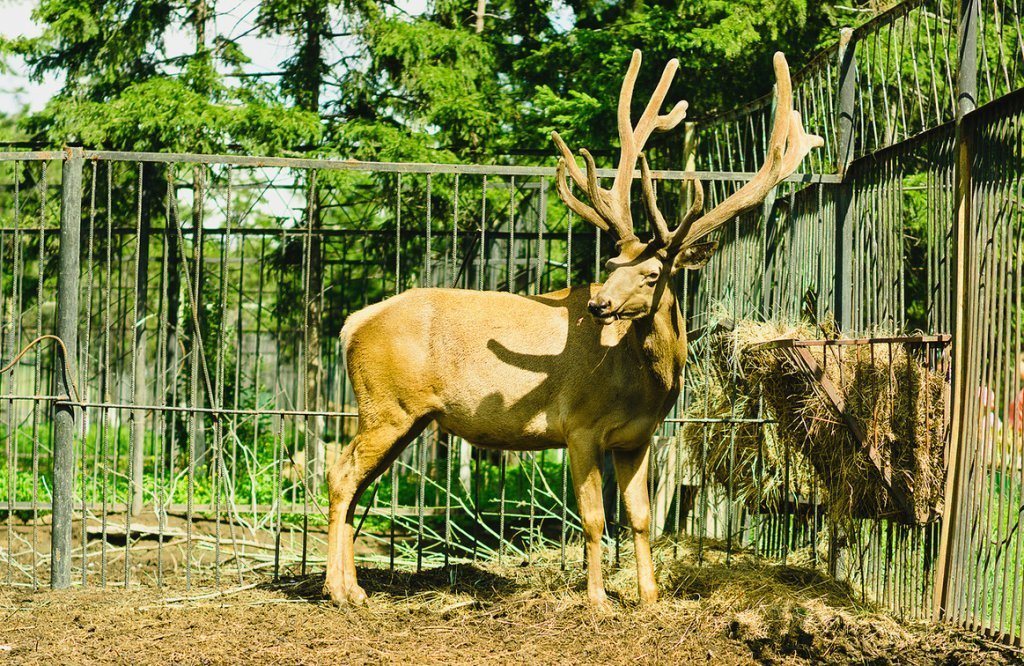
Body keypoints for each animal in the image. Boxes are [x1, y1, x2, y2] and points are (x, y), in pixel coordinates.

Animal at [327, 50, 823, 606]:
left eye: (653, 273)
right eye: (610, 264)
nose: (599, 304)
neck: (645, 384)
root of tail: (352, 325)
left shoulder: (637, 437)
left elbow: (640, 516)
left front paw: (649, 597)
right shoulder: (579, 425)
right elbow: (593, 519)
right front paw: (599, 599)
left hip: (406, 416)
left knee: (354, 482)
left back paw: (353, 588)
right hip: (386, 405)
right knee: (340, 475)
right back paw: (340, 591)